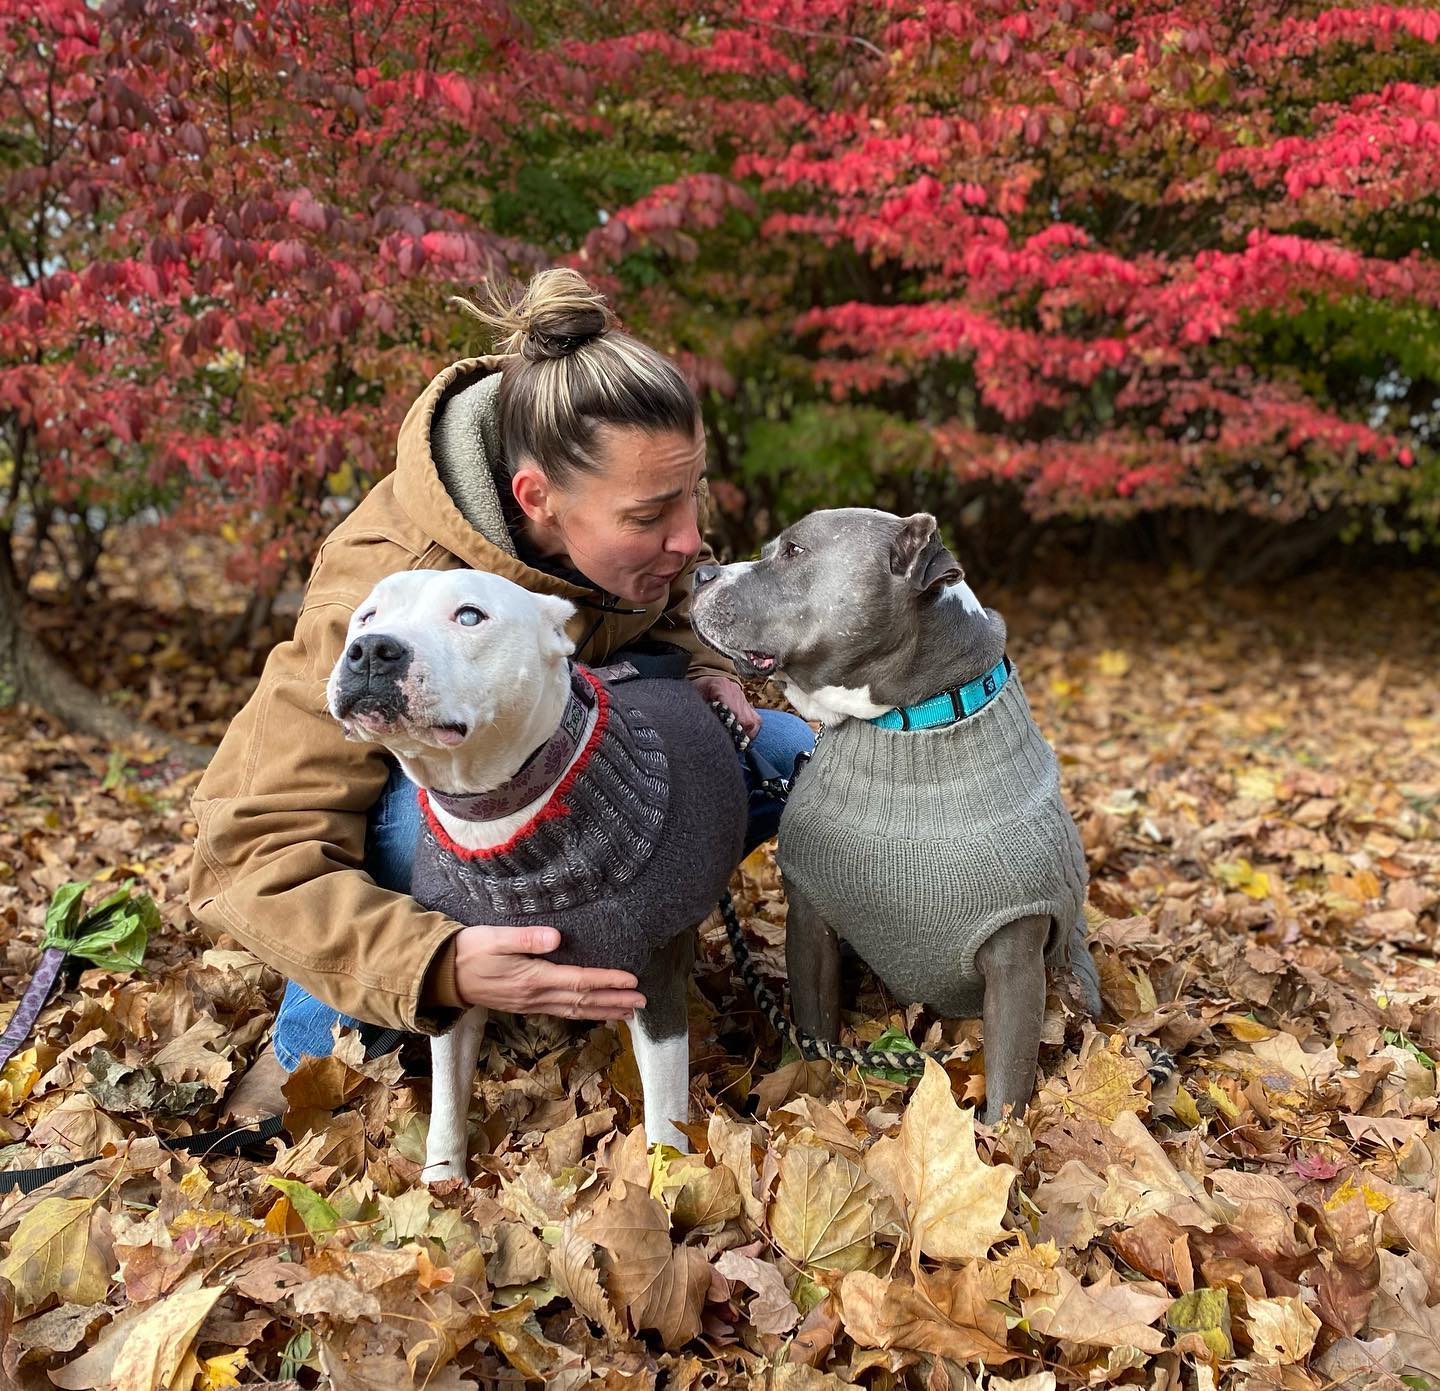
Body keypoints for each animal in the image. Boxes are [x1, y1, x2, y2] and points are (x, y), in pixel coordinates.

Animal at [326, 567, 743, 1175]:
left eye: (470, 615)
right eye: (367, 616)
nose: (371, 651)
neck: (500, 815)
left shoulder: (654, 983)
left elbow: (666, 1116)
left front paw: (667, 1183)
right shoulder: (458, 971)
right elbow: (447, 1098)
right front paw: (442, 1182)